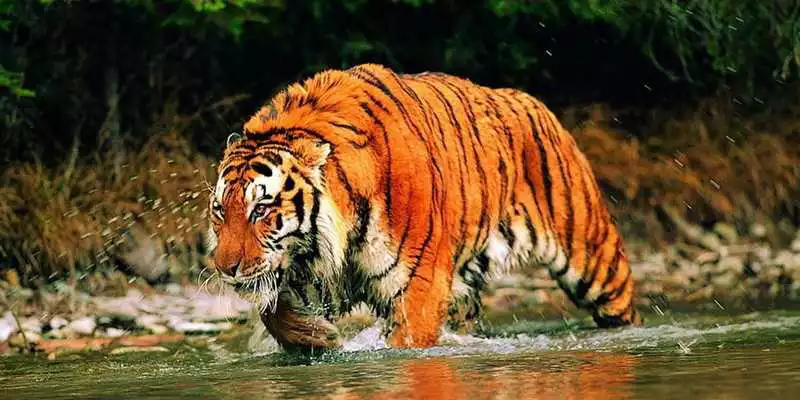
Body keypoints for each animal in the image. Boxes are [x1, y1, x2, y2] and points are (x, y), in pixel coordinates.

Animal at [207, 63, 642, 351]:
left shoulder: (418, 286)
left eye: (261, 210)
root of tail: (532, 101)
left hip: (595, 261)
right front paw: (317, 337)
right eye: (220, 211)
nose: (225, 268)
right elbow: (272, 310)